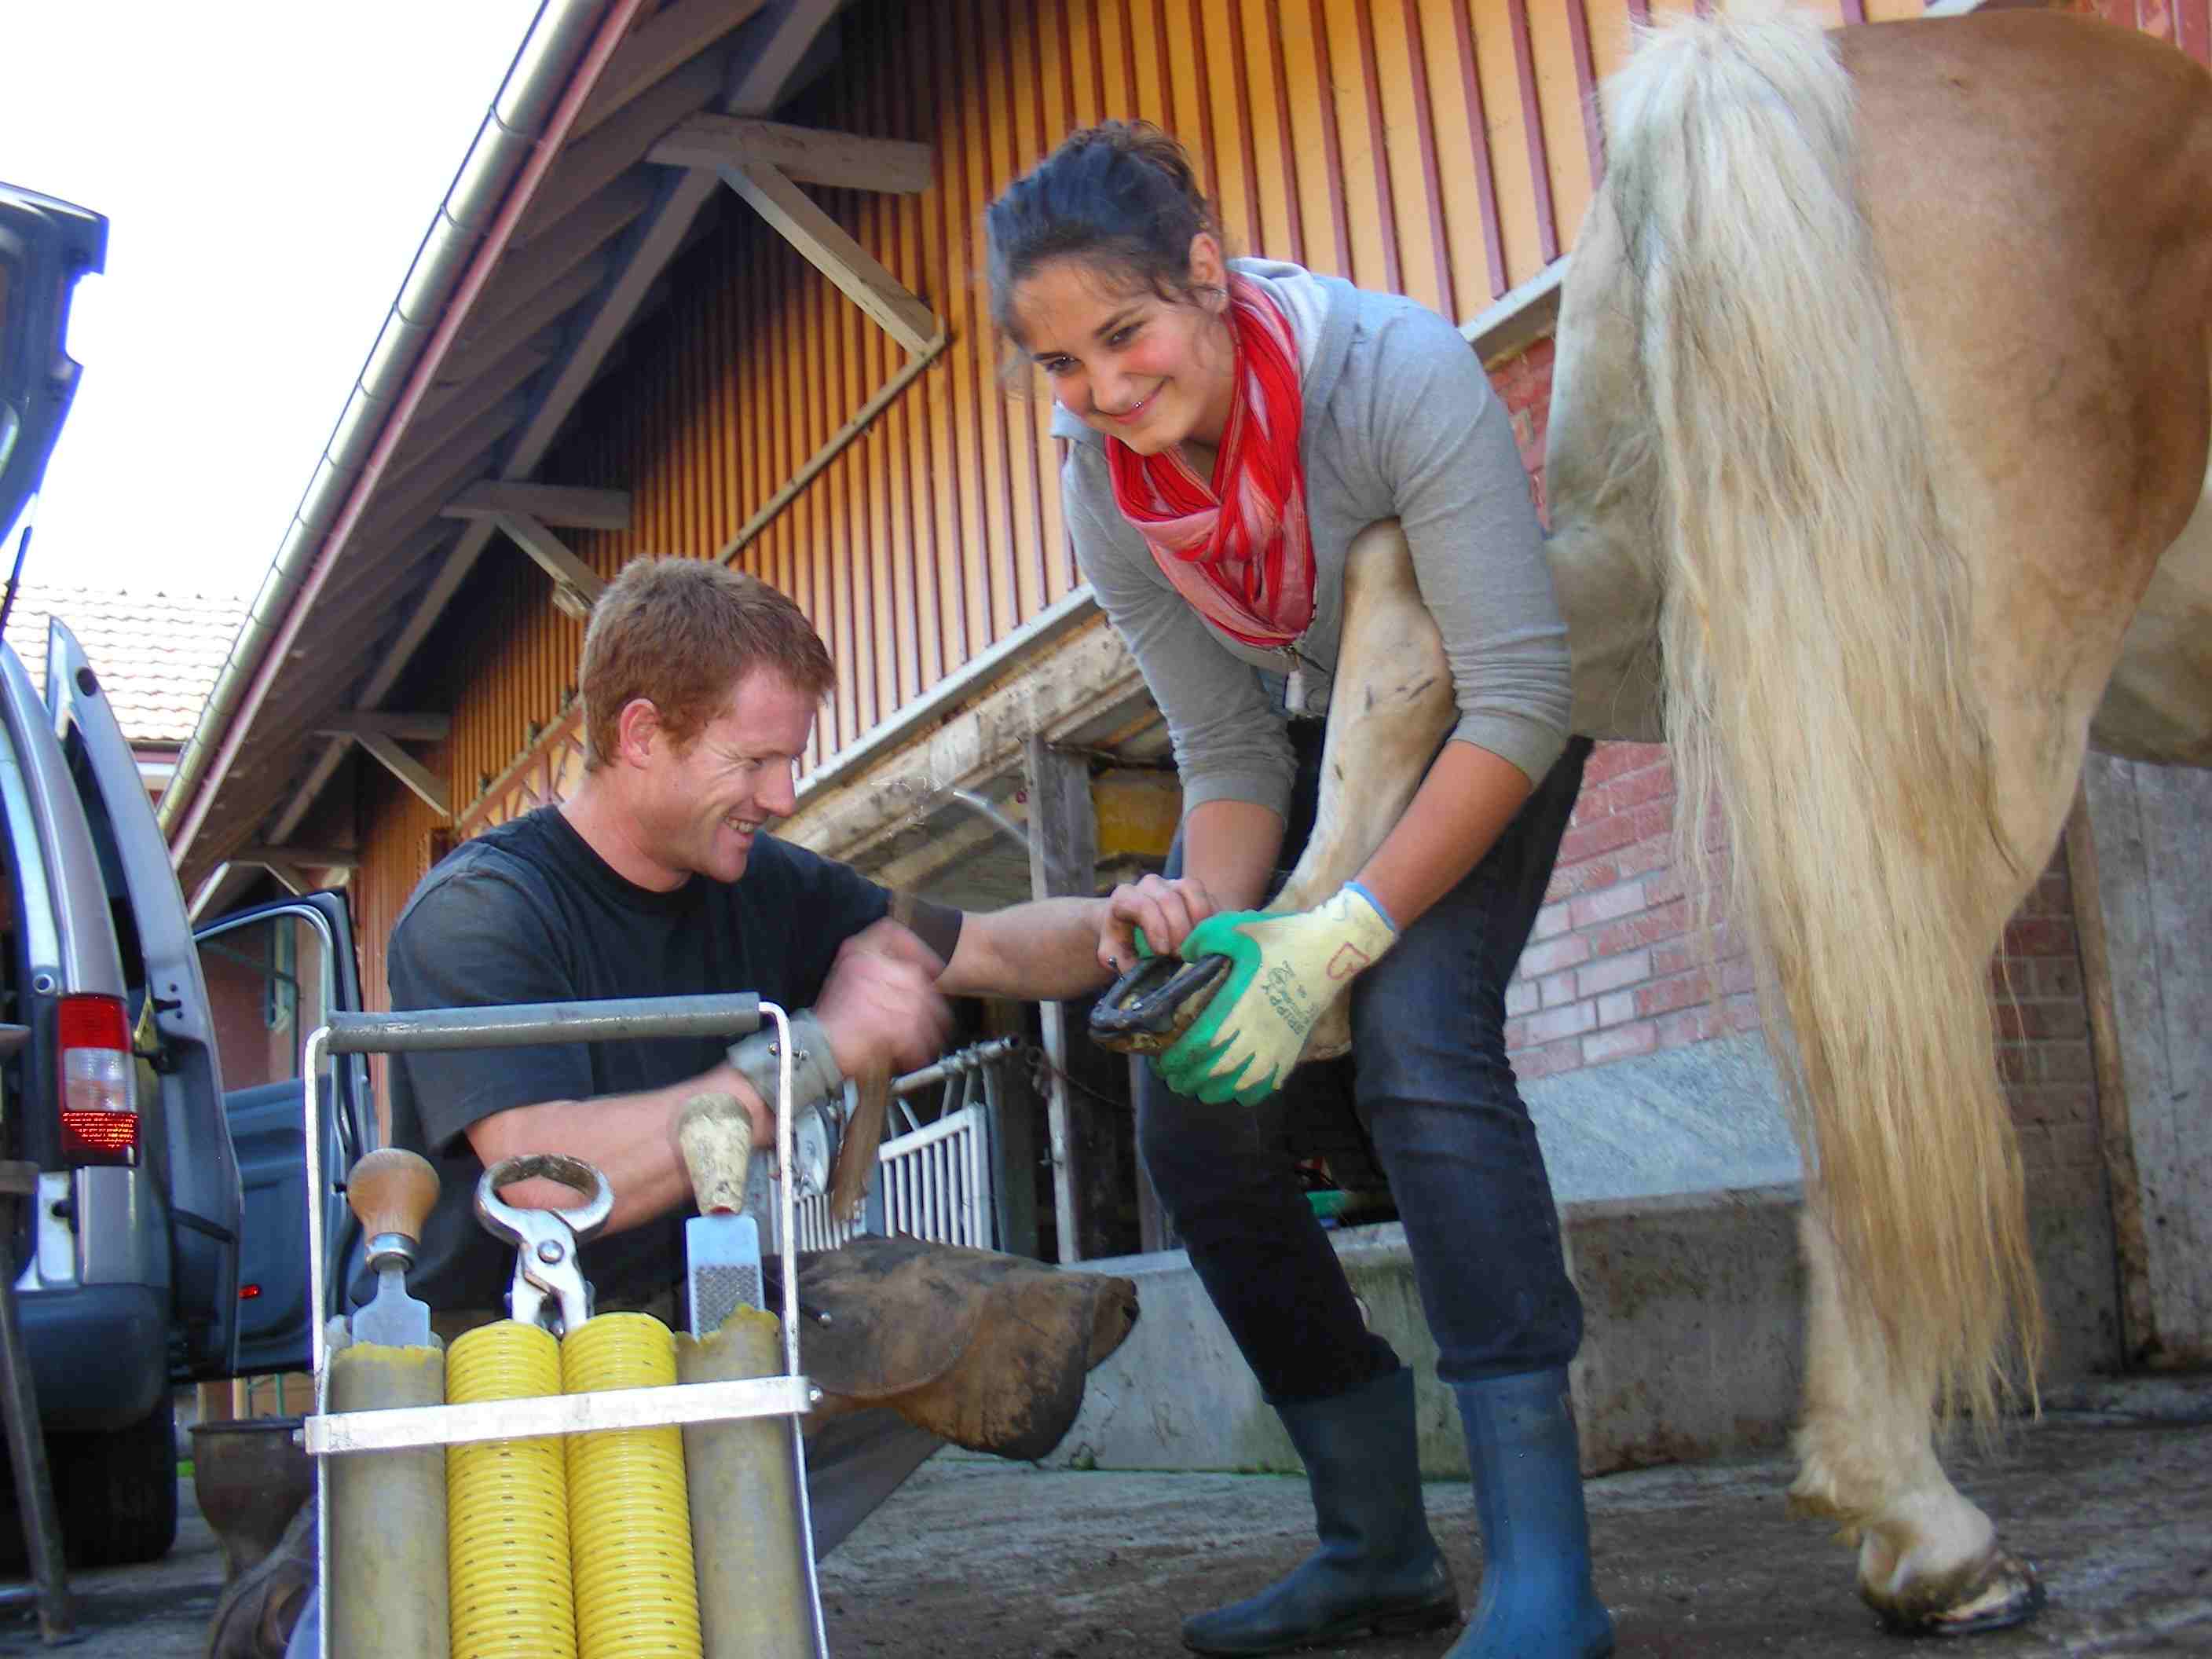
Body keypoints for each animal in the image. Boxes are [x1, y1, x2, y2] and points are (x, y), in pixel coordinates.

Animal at [1093, 0, 2212, 1636]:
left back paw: (1271, 972)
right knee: (1883, 1012)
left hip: (1624, 592)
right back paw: (1923, 1524)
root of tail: (1737, 68)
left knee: (1416, 615)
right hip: (1951, 682)